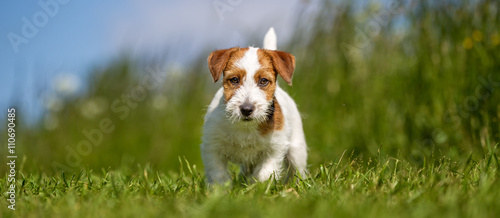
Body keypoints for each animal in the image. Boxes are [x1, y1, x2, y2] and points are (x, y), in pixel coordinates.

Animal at [201, 27, 306, 184]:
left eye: (263, 81)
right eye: (234, 80)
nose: (246, 109)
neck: (245, 128)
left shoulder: (275, 148)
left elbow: (265, 173)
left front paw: (258, 186)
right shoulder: (212, 147)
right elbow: (218, 174)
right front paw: (221, 189)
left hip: (296, 149)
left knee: (298, 170)